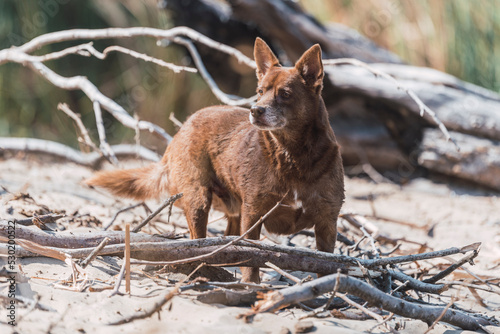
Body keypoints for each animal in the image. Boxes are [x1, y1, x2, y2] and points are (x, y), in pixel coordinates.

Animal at [86, 39, 344, 284]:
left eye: (285, 94)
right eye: (260, 91)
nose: (255, 110)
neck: (293, 155)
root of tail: (181, 129)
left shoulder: (327, 223)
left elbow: (327, 263)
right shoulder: (254, 215)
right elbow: (253, 258)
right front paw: (251, 285)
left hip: (232, 210)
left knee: (228, 240)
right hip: (198, 199)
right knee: (196, 241)